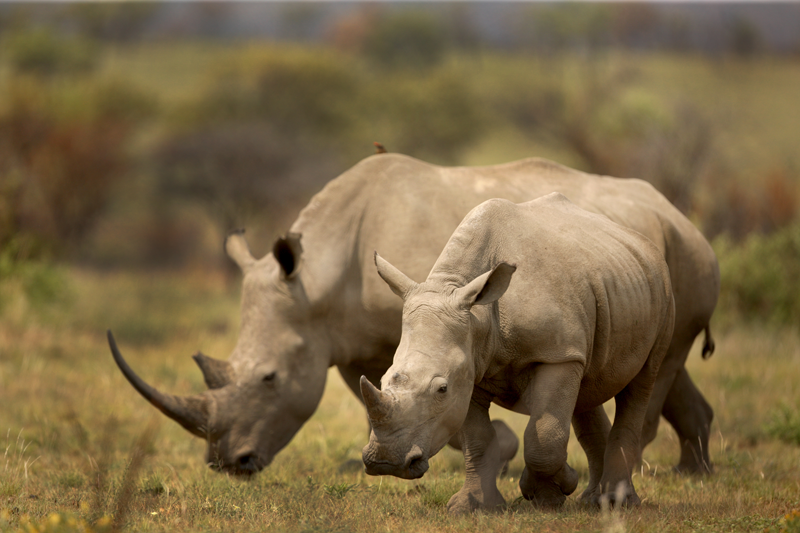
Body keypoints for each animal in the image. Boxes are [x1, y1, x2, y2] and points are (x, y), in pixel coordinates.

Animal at [108, 153, 718, 476]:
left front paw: (494, 452)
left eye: (269, 379)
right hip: (655, 261)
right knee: (660, 364)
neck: (318, 282)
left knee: (661, 363)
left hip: (680, 255)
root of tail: (676, 211)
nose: (227, 463)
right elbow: (380, 395)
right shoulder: (354, 342)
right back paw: (692, 472)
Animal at [362, 194, 676, 513]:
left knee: (642, 382)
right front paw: (473, 506)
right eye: (383, 379)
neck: (478, 316)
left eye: (441, 389)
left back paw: (616, 503)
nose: (386, 461)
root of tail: (644, 242)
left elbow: (545, 434)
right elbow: (477, 440)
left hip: (663, 290)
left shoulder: (556, 355)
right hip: (608, 287)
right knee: (586, 387)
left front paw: (548, 495)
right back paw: (592, 500)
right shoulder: (471, 365)